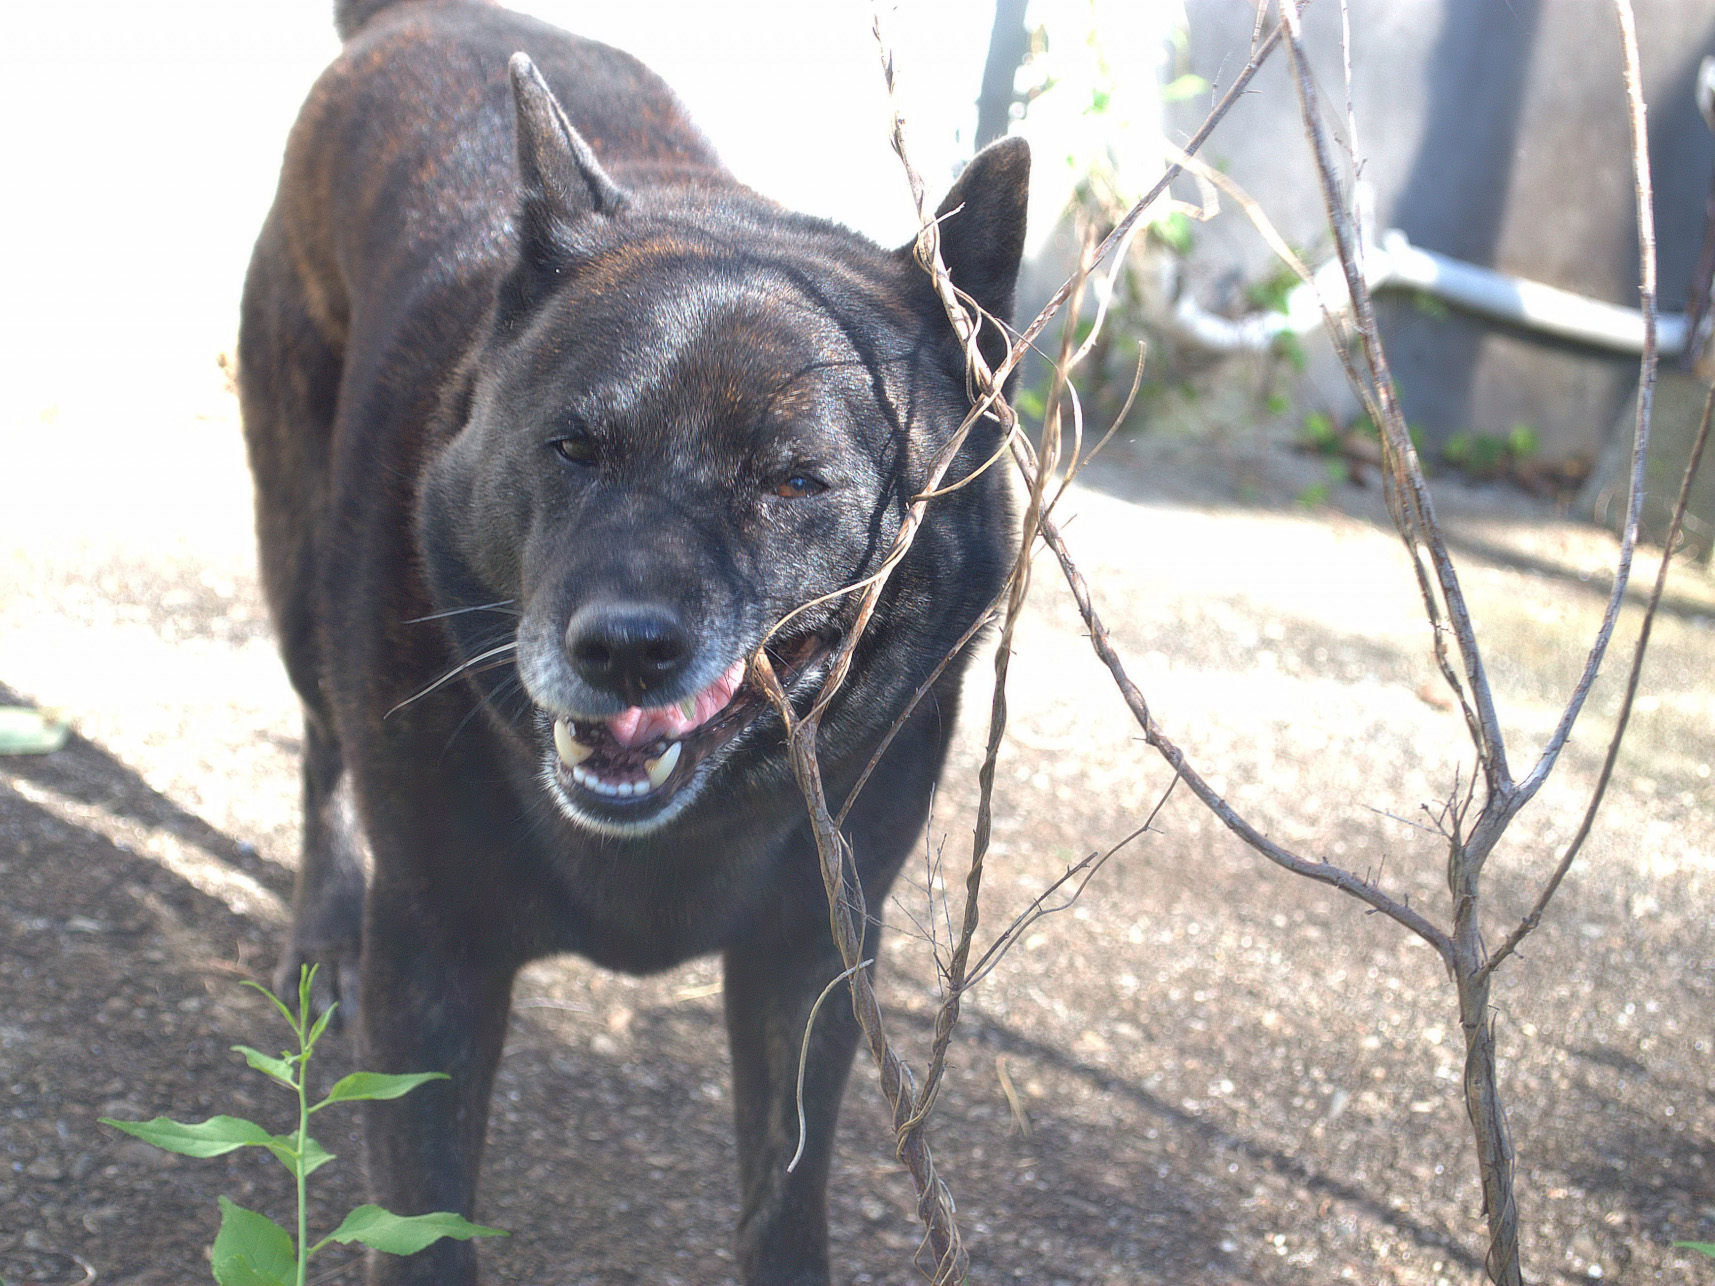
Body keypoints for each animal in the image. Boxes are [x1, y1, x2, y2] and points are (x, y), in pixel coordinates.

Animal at [234, 5, 1022, 1282]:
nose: (624, 649)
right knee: (320, 753)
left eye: (795, 479)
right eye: (572, 446)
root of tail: (414, 23)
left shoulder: (807, 958)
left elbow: (782, 1194)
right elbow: (423, 1220)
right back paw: (323, 937)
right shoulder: (432, 960)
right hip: (300, 582)